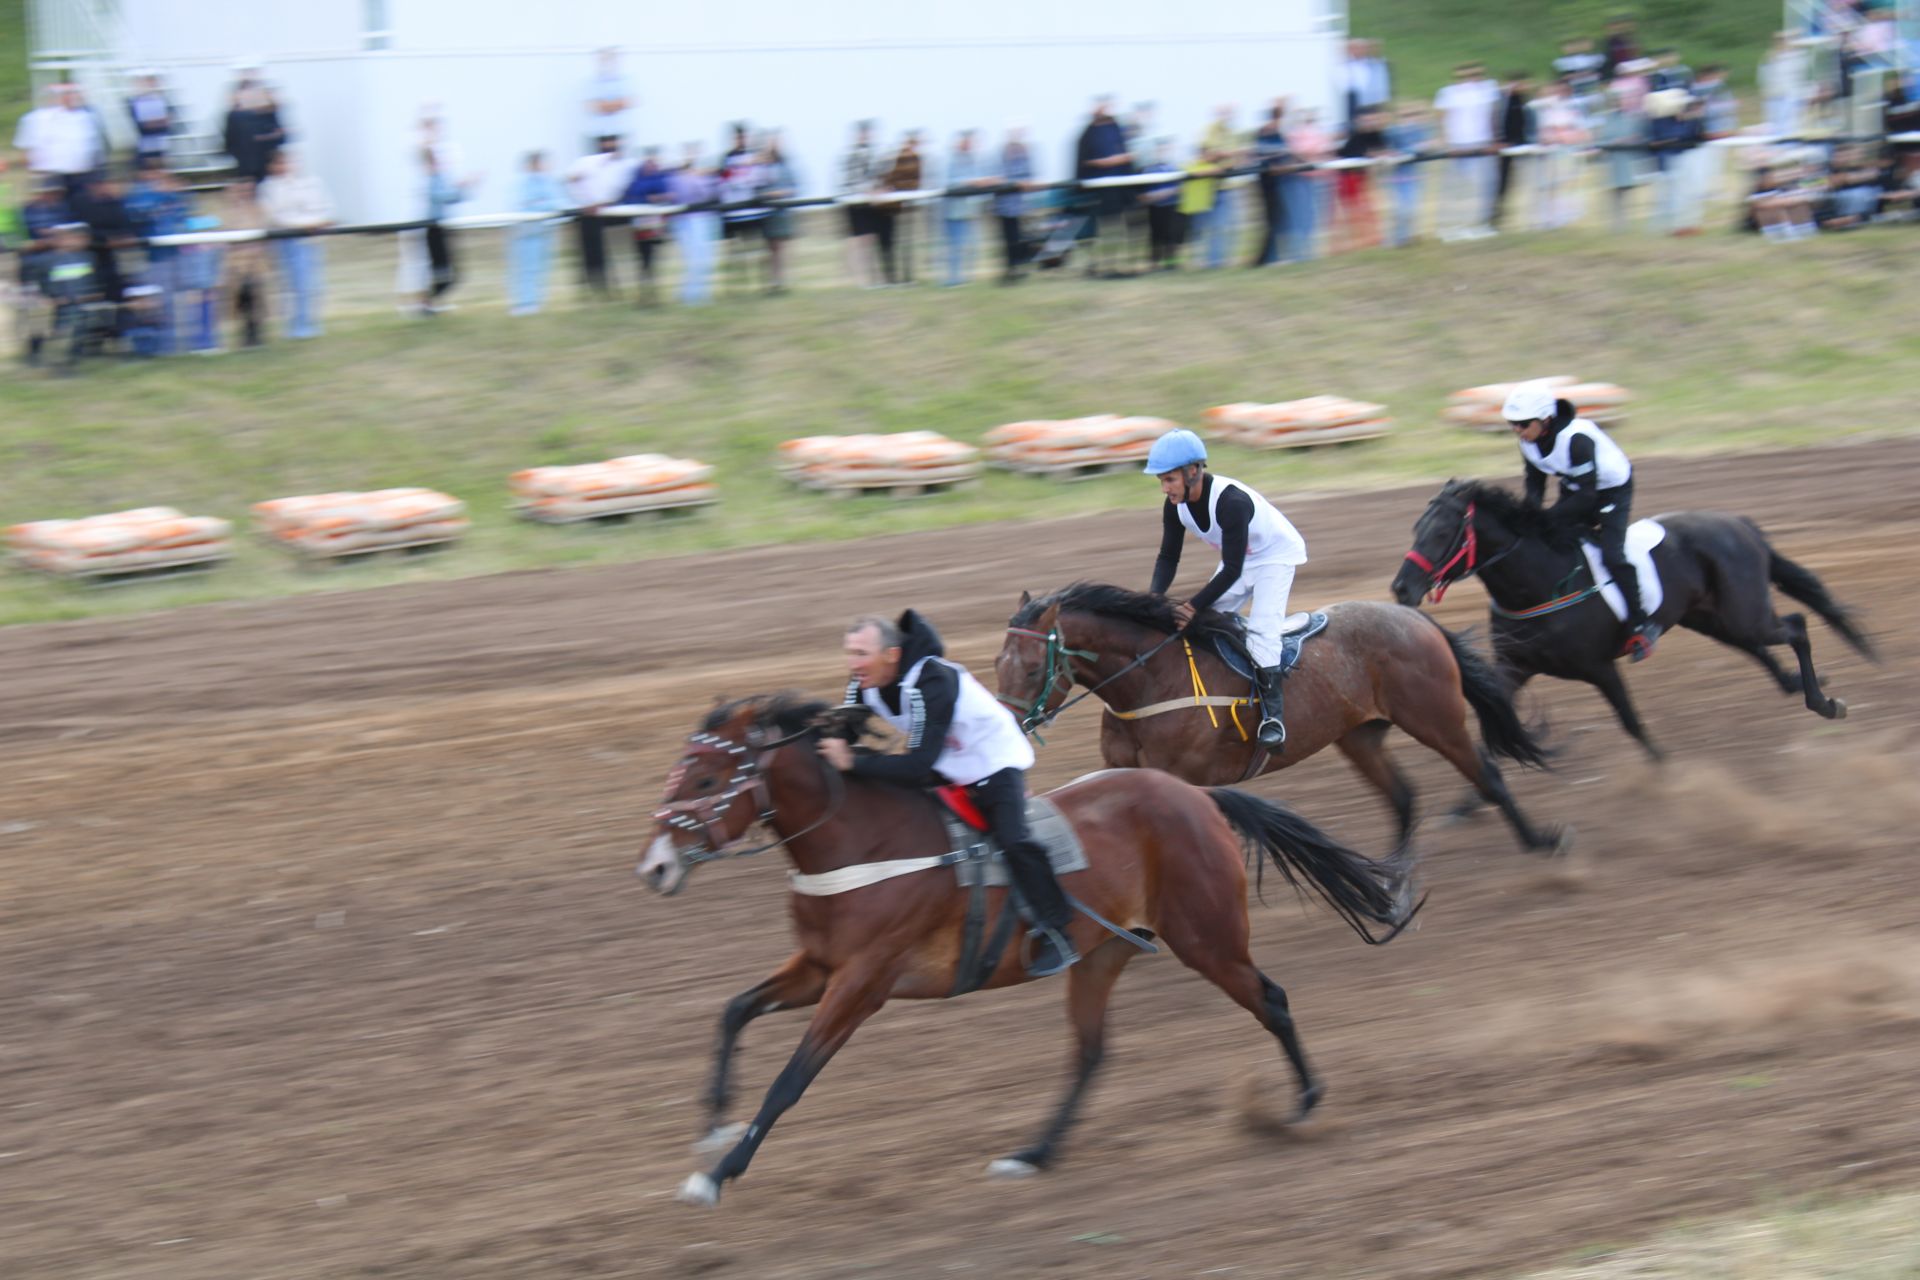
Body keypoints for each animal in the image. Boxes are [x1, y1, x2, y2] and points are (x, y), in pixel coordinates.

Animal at [637, 694, 1420, 1205]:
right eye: (678, 772)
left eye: (705, 779)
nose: (654, 867)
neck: (860, 840)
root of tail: (1199, 799)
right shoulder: (817, 967)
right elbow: (734, 1010)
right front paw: (714, 1120)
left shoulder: (862, 982)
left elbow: (792, 1079)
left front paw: (717, 1173)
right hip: (1104, 954)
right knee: (1091, 1052)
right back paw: (1033, 1154)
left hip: (1208, 937)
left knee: (1272, 1000)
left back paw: (1307, 1102)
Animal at [998, 587, 1566, 855]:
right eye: (996, 664)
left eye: (1030, 668)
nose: (1009, 731)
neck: (1149, 682)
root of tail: (1415, 617)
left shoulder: (1187, 780)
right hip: (1359, 736)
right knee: (1404, 797)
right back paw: (1392, 874)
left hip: (1436, 719)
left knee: (1486, 775)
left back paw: (1542, 842)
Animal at [1390, 479, 1881, 759]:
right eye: (1415, 529)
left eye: (1441, 532)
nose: (1401, 589)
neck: (1539, 583)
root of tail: (1739, 523)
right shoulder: (1515, 668)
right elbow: (1498, 724)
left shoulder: (1599, 668)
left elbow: (1632, 723)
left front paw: (1668, 774)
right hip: (1709, 617)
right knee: (1760, 648)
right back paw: (1798, 686)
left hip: (1744, 612)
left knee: (1795, 627)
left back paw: (1824, 702)